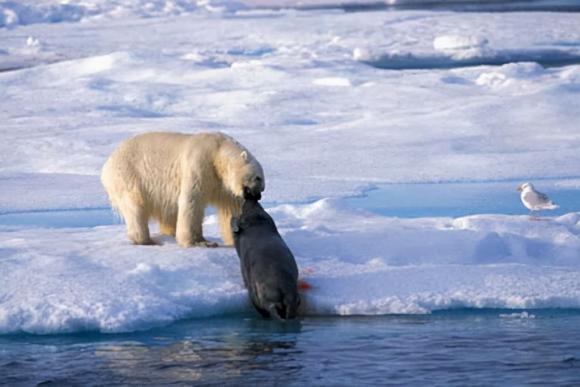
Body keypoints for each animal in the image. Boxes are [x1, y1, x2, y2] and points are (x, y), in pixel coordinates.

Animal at [101, 133, 264, 249]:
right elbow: (192, 201)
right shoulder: (199, 164)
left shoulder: (223, 185)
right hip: (129, 176)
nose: (258, 195)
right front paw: (200, 242)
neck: (217, 152)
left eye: (262, 181)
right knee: (135, 207)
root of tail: (107, 164)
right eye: (258, 178)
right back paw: (147, 240)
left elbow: (231, 208)